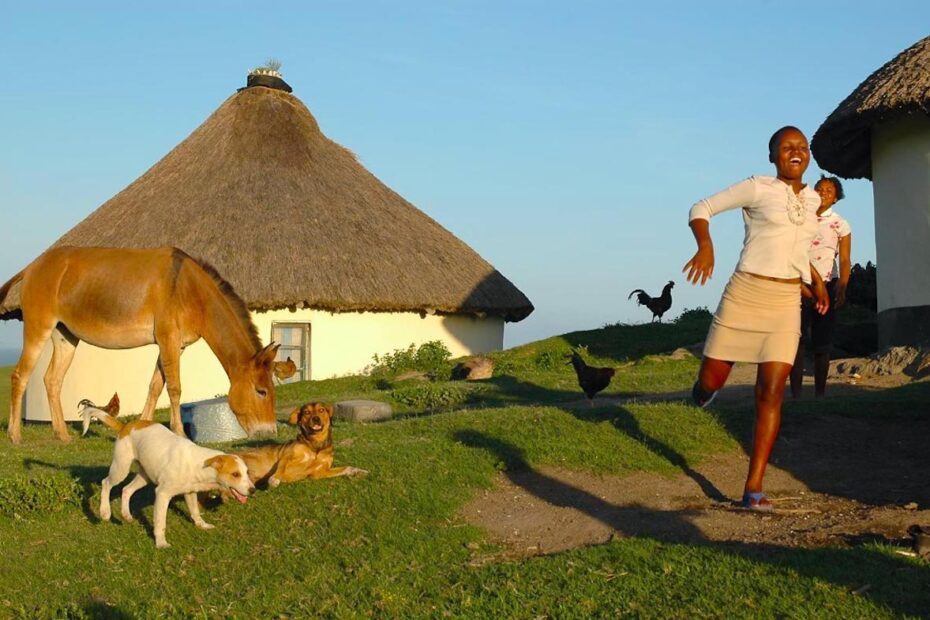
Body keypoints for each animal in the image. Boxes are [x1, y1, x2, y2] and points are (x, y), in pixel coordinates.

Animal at [80, 400, 252, 544]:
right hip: (120, 468)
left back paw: (126, 515)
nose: (253, 490)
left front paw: (202, 525)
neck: (198, 463)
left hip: (144, 476)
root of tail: (125, 426)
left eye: (247, 472)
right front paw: (161, 543)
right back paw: (104, 512)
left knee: (126, 490)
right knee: (106, 483)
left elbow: (195, 512)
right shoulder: (162, 494)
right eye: (235, 474)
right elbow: (160, 522)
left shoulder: (190, 492)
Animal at [236, 402, 366, 490]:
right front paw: (275, 478)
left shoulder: (320, 472)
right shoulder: (286, 456)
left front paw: (357, 470)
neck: (315, 444)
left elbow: (345, 468)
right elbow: (281, 468)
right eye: (307, 412)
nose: (316, 418)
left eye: (321, 410)